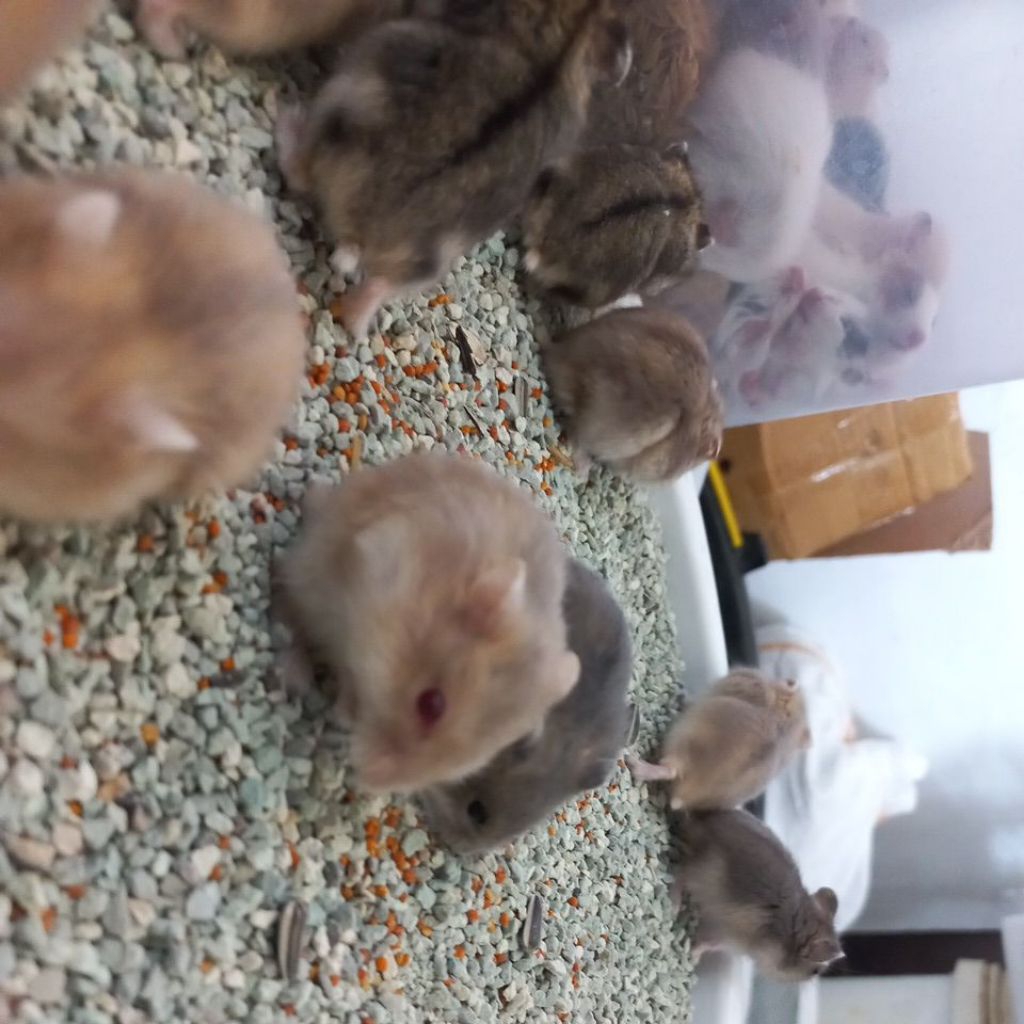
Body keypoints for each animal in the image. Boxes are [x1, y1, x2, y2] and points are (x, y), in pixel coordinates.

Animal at [278, 0, 632, 338]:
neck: (566, 39)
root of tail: (363, 226)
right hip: (431, 263)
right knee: (382, 285)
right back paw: (359, 323)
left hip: (350, 85)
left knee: (302, 174)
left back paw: (287, 120)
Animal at [278, 451, 582, 794]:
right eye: (431, 703)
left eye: (483, 754)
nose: (369, 780)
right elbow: (348, 670)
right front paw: (344, 713)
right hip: (306, 573)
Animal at [628, 667, 809, 811]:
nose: (790, 680)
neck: (789, 717)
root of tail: (682, 797)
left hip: (681, 736)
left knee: (670, 769)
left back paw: (634, 765)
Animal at [675, 809, 843, 980]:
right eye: (815, 971)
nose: (811, 978)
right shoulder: (731, 936)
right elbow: (708, 943)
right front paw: (693, 955)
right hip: (701, 874)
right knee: (680, 876)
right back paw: (675, 906)